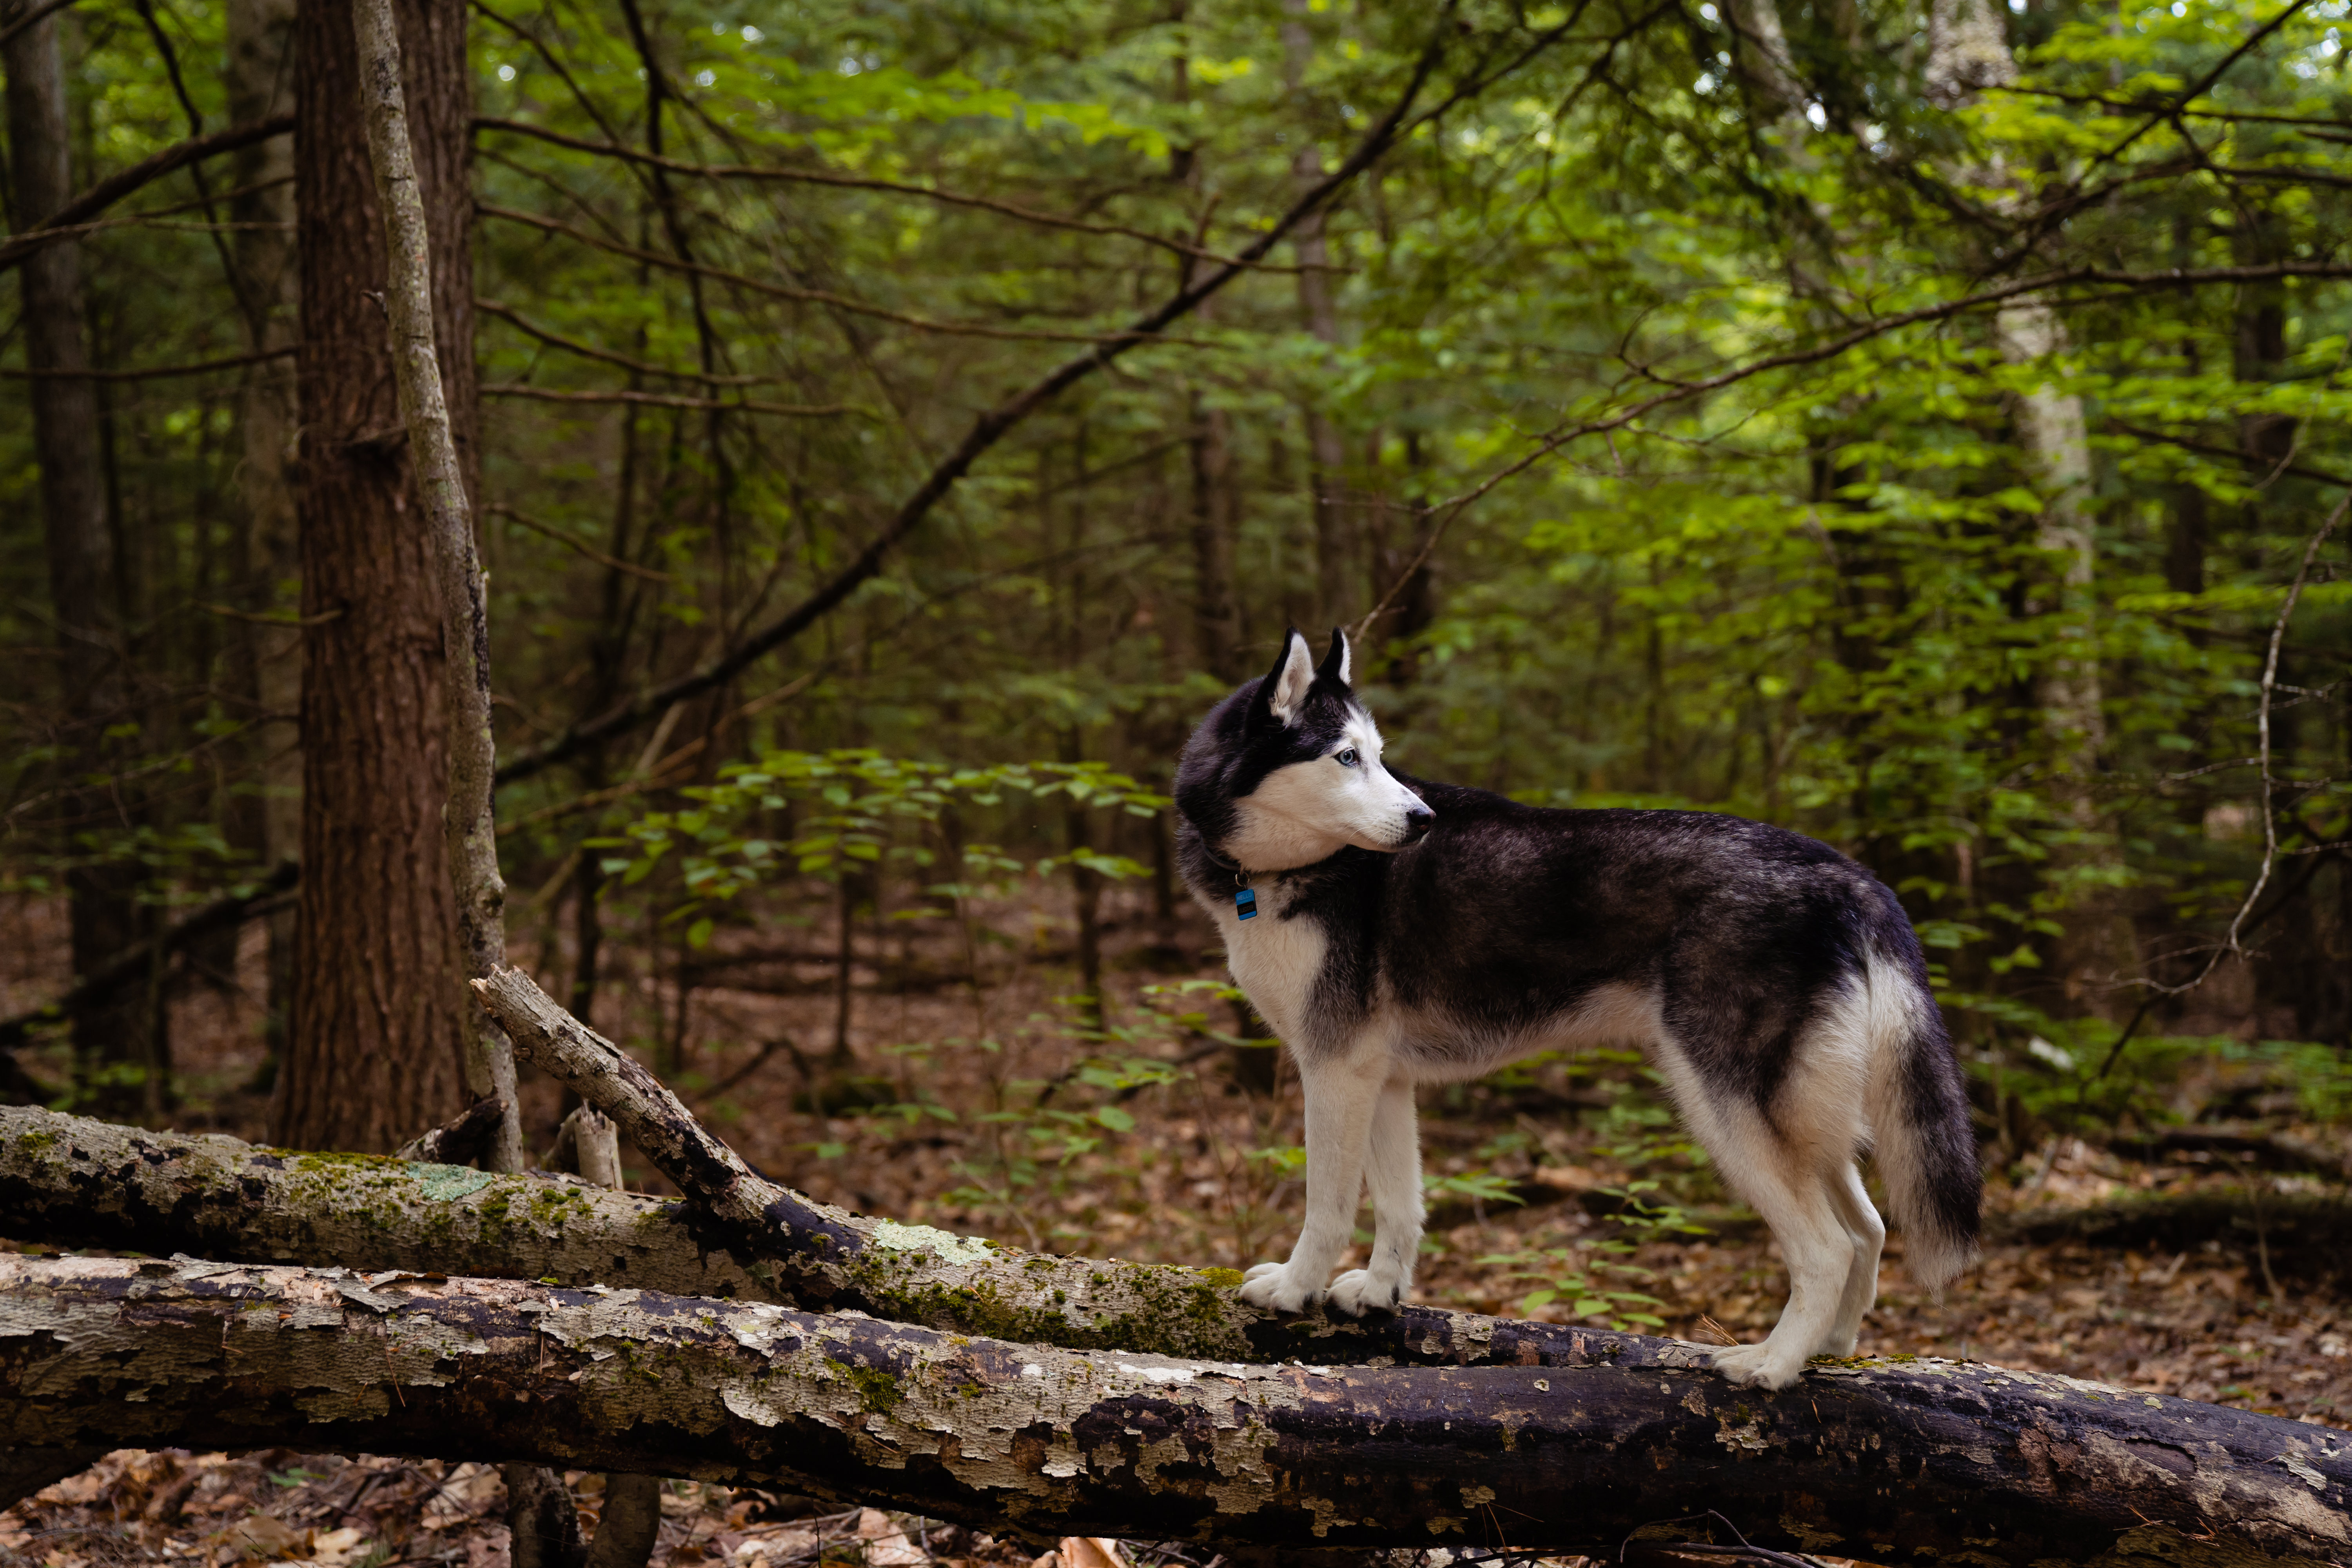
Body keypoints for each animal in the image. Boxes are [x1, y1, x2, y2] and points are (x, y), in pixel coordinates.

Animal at [1167, 625, 1976, 1382]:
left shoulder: (1333, 1071)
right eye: (1347, 757)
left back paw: (1772, 1365)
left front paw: (1296, 1289)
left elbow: (1327, 1206)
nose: (1424, 819)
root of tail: (1846, 873)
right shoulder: (1380, 1077)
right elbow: (1401, 1205)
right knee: (1870, 1228)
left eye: (1376, 756)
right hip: (1807, 1117)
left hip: (1724, 1108)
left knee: (1828, 1246)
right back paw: (1829, 1351)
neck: (1277, 871)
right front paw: (1378, 1291)